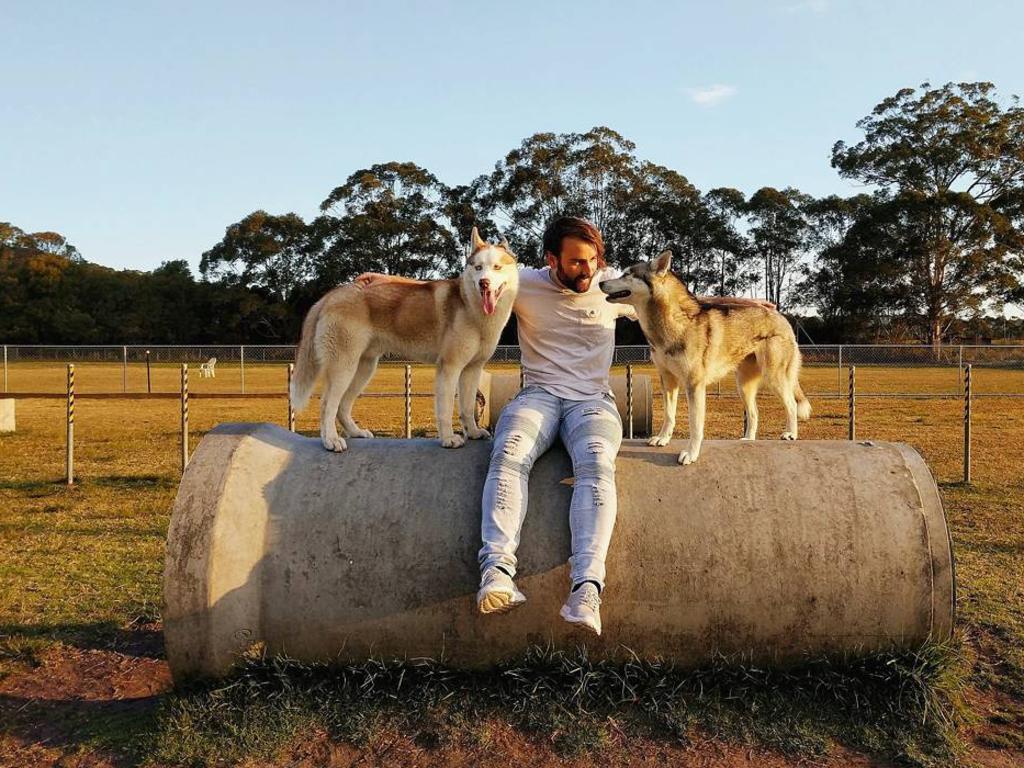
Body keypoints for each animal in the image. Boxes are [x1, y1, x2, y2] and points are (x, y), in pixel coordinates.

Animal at [290, 231, 520, 454]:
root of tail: (330, 296)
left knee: (342, 406)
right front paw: (448, 439)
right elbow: (446, 409)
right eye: (478, 267)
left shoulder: (472, 369)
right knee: (327, 405)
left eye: (497, 267)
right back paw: (330, 440)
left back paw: (355, 432)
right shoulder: (449, 367)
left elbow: (466, 407)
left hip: (363, 368)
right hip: (343, 367)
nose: (484, 283)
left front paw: (472, 432)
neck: (471, 307)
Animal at [598, 252, 806, 466]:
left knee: (791, 405)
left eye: (627, 274)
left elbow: (695, 425)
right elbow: (669, 415)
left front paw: (691, 454)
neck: (673, 322)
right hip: (743, 385)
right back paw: (748, 439)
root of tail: (779, 315)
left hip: (774, 377)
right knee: (754, 413)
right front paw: (663, 438)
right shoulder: (668, 380)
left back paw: (790, 434)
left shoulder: (694, 385)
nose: (600, 283)